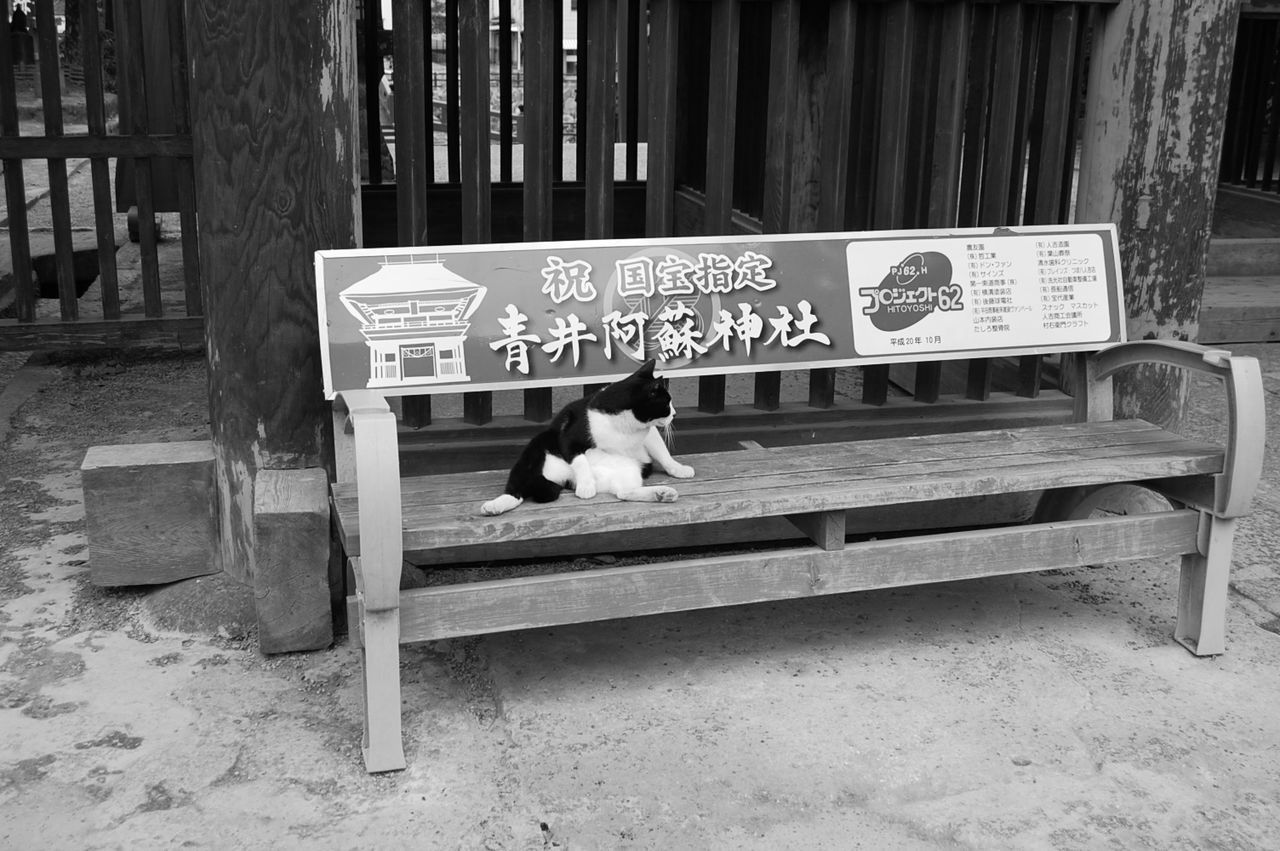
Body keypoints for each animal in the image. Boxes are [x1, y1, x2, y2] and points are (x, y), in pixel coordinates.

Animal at [481, 355, 696, 514]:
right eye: (666, 403)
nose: (675, 413)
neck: (626, 427)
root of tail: (562, 478)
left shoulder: (649, 432)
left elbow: (663, 452)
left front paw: (678, 469)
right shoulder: (569, 436)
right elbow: (580, 460)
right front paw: (585, 487)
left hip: (629, 470)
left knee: (624, 492)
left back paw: (662, 494)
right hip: (535, 449)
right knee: (516, 489)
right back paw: (493, 506)